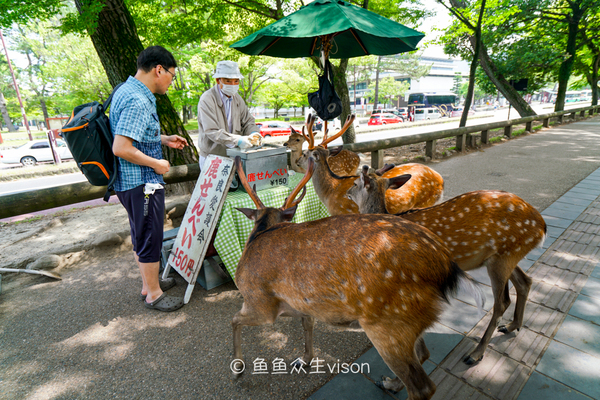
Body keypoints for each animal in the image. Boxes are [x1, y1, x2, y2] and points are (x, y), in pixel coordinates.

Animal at [230, 155, 482, 398]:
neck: (260, 234)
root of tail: (446, 264)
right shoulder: (303, 301)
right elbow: (307, 324)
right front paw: (304, 360)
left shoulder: (260, 303)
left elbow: (234, 320)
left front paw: (237, 368)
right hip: (411, 322)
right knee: (423, 354)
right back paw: (390, 383)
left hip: (388, 323)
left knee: (422, 386)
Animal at [344, 166, 548, 366]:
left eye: (354, 183)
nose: (346, 192)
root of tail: (542, 226)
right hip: (505, 255)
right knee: (525, 281)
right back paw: (512, 326)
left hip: (503, 258)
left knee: (502, 302)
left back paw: (475, 353)